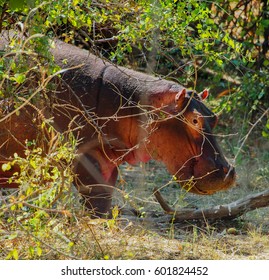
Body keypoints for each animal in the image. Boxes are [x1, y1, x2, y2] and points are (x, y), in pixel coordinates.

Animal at [0, 32, 233, 217]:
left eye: (214, 117)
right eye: (194, 119)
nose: (228, 171)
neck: (134, 104)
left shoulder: (107, 162)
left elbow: (104, 199)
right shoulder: (86, 157)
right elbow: (96, 200)